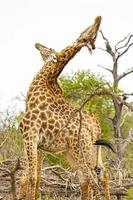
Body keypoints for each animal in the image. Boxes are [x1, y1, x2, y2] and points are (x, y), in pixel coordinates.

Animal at [18, 16, 112, 200]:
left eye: (91, 35)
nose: (37, 44)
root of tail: (96, 129)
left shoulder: (30, 136)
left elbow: (30, 177)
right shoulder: (38, 144)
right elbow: (35, 178)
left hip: (81, 153)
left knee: (93, 179)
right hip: (76, 153)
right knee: (92, 177)